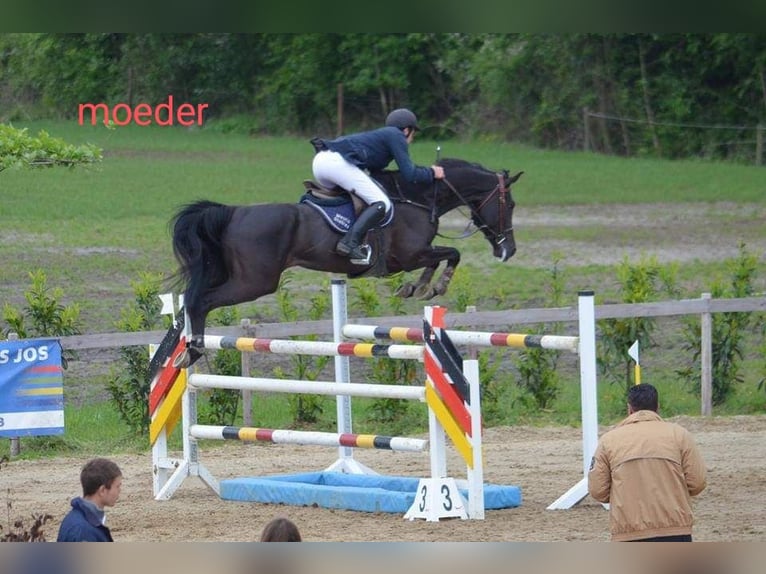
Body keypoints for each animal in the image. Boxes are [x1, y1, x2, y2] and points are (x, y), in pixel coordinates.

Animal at [172, 159, 524, 364]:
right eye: (511, 205)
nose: (509, 250)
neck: (421, 198)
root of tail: (232, 213)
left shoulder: (415, 256)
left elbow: (443, 257)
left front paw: (417, 288)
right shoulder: (409, 255)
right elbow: (451, 254)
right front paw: (431, 288)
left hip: (233, 274)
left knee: (192, 298)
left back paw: (186, 348)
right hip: (254, 282)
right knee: (201, 300)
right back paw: (193, 349)